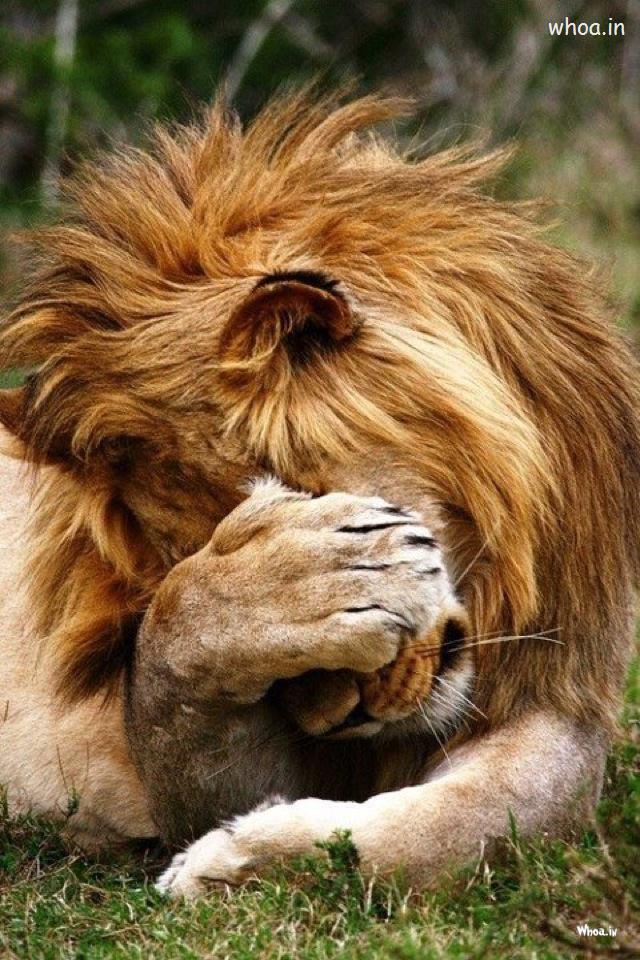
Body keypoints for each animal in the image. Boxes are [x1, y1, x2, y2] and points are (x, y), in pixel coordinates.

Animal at [0, 89, 638, 893]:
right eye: (208, 549)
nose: (339, 720)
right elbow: (177, 647)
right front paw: (231, 863)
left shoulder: (560, 693)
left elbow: (465, 827)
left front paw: (236, 861)